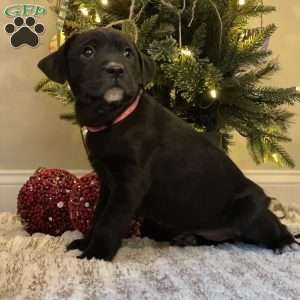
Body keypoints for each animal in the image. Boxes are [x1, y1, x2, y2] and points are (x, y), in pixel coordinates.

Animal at [38, 29, 298, 262]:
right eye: (87, 52)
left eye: (127, 53)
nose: (116, 69)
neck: (115, 118)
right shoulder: (108, 182)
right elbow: (98, 215)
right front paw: (85, 243)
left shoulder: (130, 183)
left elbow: (109, 221)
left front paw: (95, 255)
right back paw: (191, 238)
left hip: (249, 210)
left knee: (270, 225)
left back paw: (285, 243)